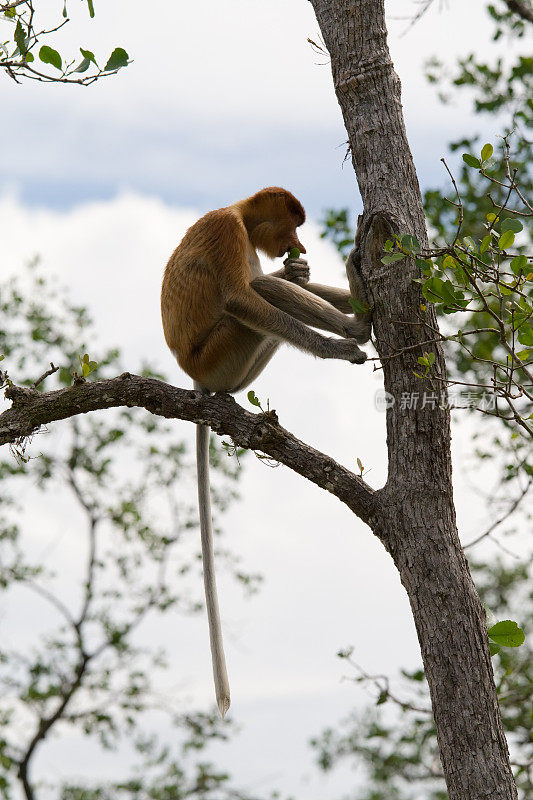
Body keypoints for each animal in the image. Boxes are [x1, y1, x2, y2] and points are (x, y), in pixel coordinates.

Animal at [162, 189, 370, 720]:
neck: (238, 211)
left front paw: (301, 269)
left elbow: (276, 282)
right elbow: (241, 296)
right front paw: (337, 346)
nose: (298, 245)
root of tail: (197, 379)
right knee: (258, 293)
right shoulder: (225, 231)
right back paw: (355, 330)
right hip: (221, 354)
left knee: (269, 287)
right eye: (291, 224)